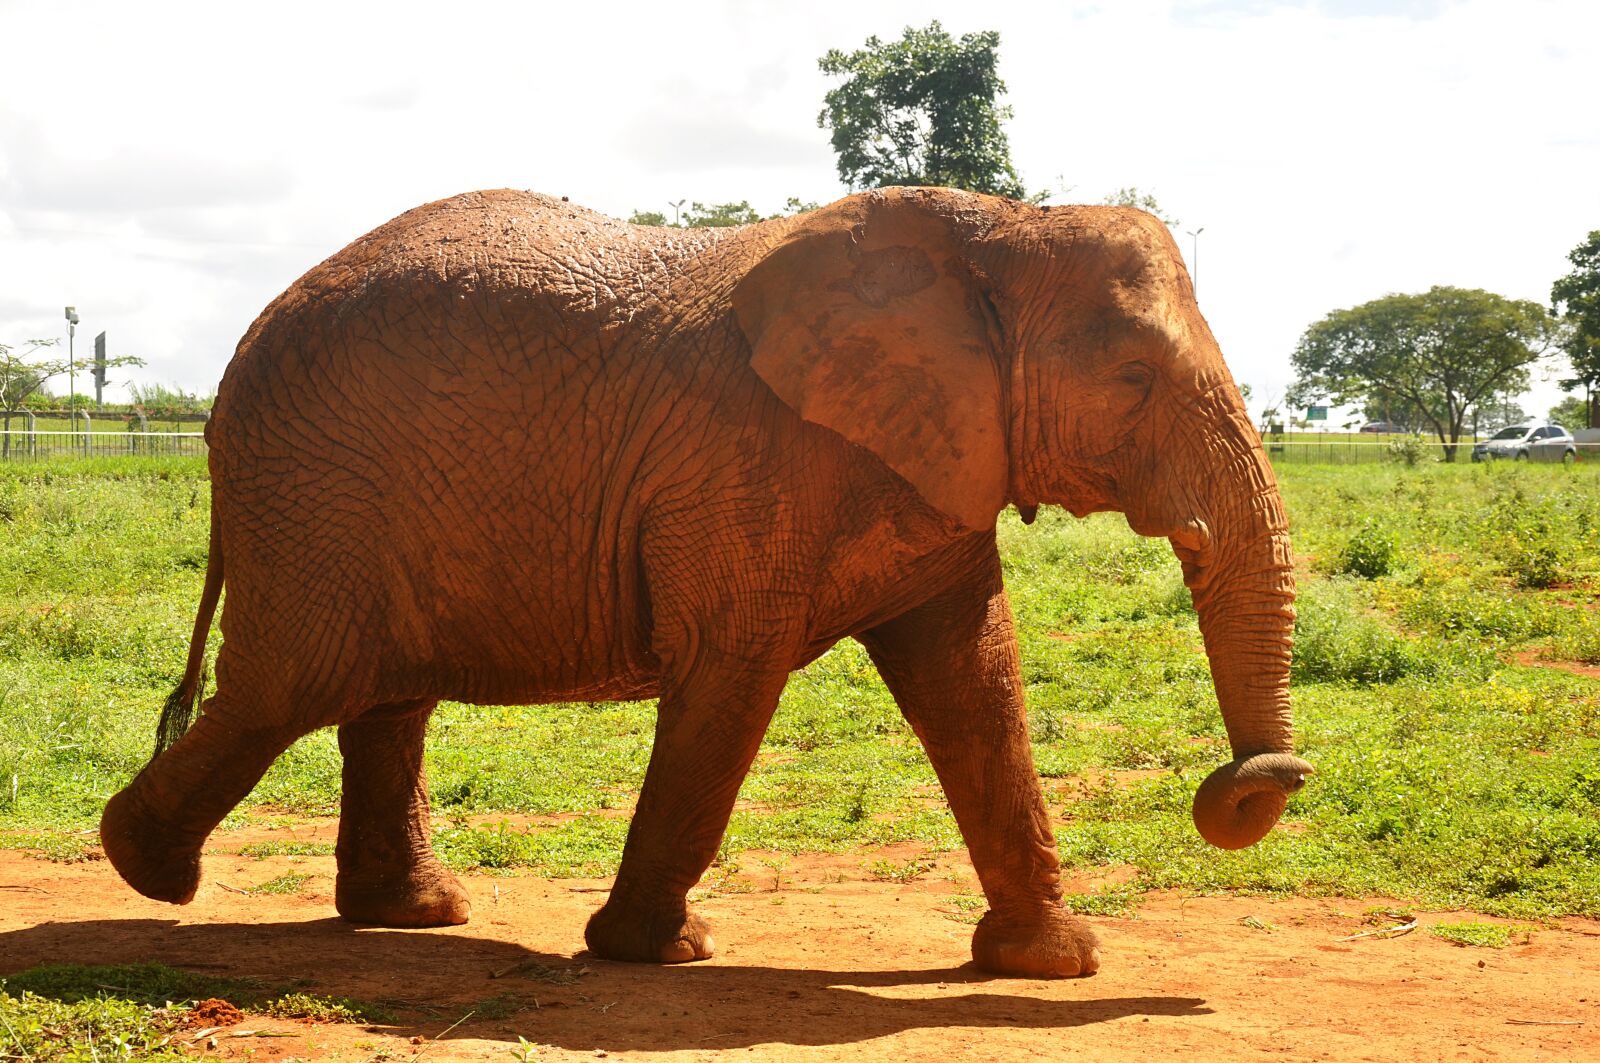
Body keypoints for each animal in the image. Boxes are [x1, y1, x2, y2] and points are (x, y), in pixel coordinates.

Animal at [99, 186, 1313, 979]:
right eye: (1132, 377)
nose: (1259, 778)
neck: (999, 231)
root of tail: (239, 353)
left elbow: (975, 684)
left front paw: (1051, 962)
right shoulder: (745, 462)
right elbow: (732, 676)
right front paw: (657, 952)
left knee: (381, 697)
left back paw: (415, 915)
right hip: (314, 487)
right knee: (292, 685)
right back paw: (148, 872)